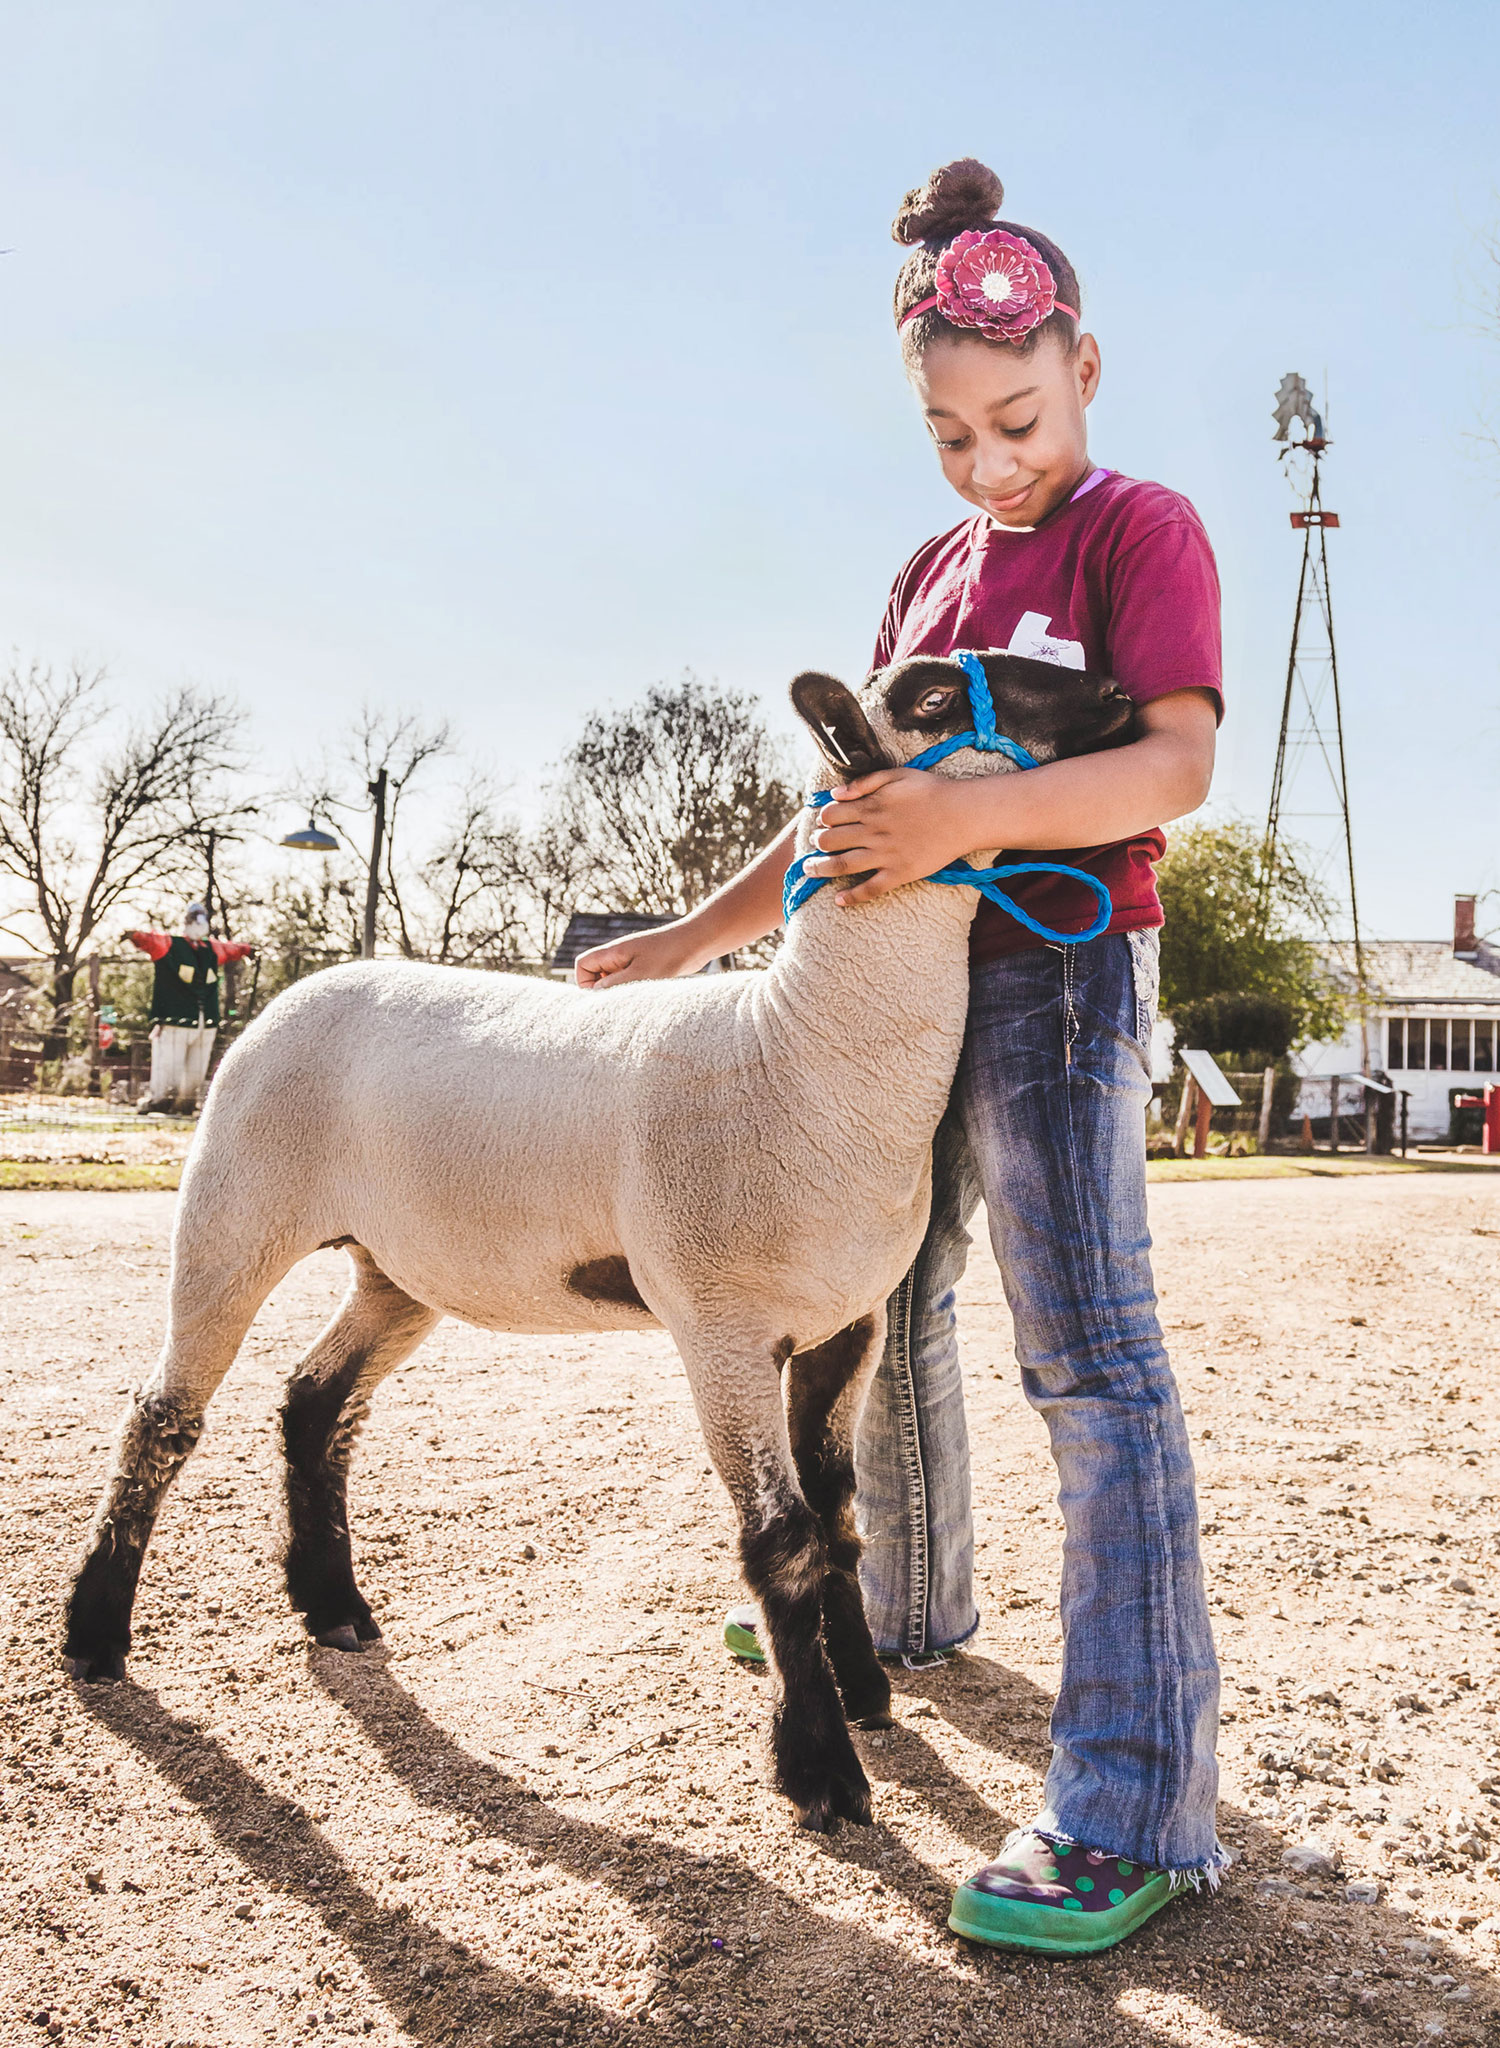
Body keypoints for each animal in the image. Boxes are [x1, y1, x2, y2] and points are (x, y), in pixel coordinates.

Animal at [64, 651, 1131, 1826]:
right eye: (936, 699)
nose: (1118, 694)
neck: (805, 1054)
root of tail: (311, 981)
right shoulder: (722, 1327)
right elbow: (784, 1540)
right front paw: (820, 1768)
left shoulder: (845, 1322)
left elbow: (840, 1521)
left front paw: (862, 1693)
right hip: (235, 1207)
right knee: (163, 1416)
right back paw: (97, 1636)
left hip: (404, 1266)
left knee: (314, 1400)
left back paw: (333, 1605)